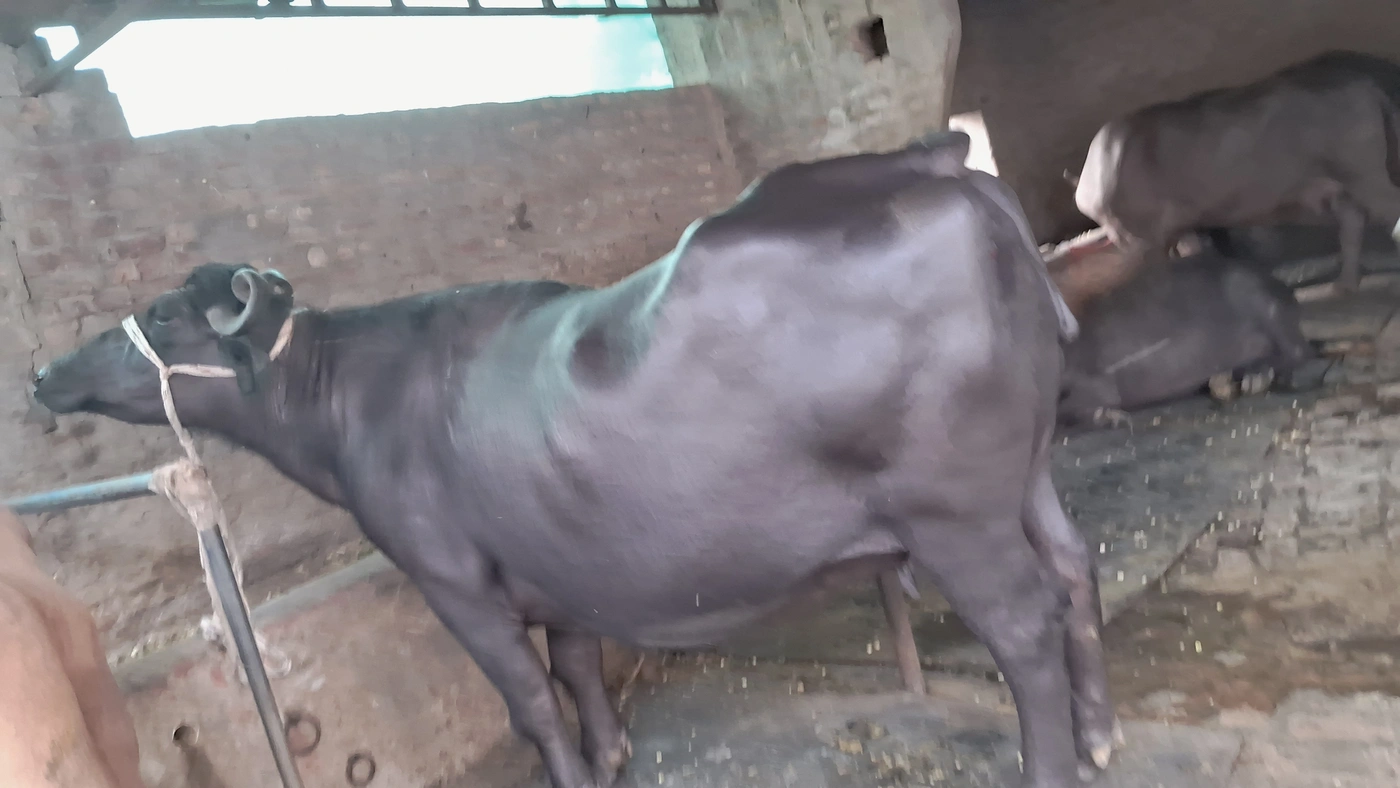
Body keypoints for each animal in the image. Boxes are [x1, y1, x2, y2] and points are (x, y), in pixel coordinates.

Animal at [33, 132, 1112, 788]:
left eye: (165, 314)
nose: (42, 372)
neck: (354, 405)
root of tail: (940, 162)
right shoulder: (557, 561)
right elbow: (580, 663)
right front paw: (614, 749)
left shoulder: (452, 580)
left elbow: (531, 701)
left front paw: (574, 763)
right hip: (1023, 473)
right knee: (1071, 566)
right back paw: (1099, 732)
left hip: (953, 510)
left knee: (1022, 622)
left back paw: (1052, 760)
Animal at [1073, 50, 1400, 294]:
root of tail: (1367, 85)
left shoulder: (1138, 232)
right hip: (1344, 178)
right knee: (1352, 221)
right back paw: (1343, 287)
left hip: (1359, 166)